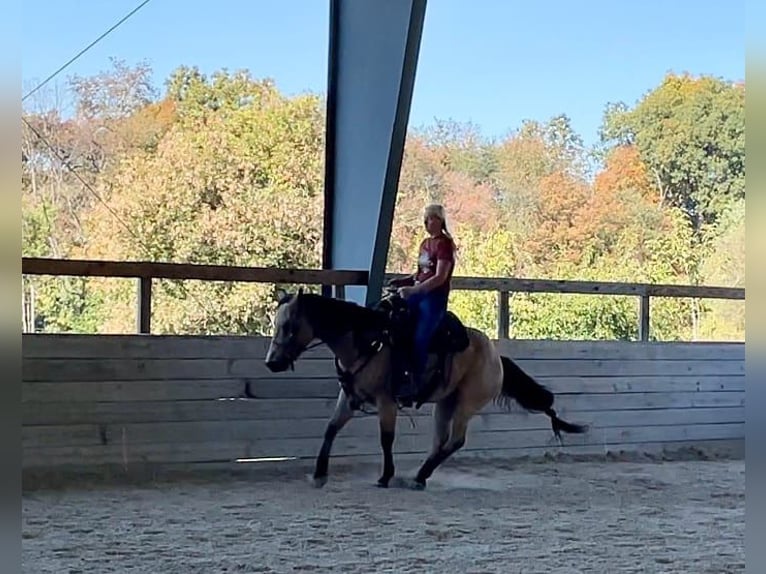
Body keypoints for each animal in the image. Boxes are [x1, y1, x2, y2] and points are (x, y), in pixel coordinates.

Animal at [264, 290, 588, 492]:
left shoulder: (386, 401)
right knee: (440, 442)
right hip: (445, 404)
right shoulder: (349, 397)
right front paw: (319, 475)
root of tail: (497, 358)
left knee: (456, 441)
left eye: (290, 326)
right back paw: (420, 476)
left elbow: (386, 439)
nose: (272, 363)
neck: (368, 341)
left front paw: (386, 476)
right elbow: (330, 429)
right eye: (276, 324)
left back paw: (420, 476)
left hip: (466, 404)